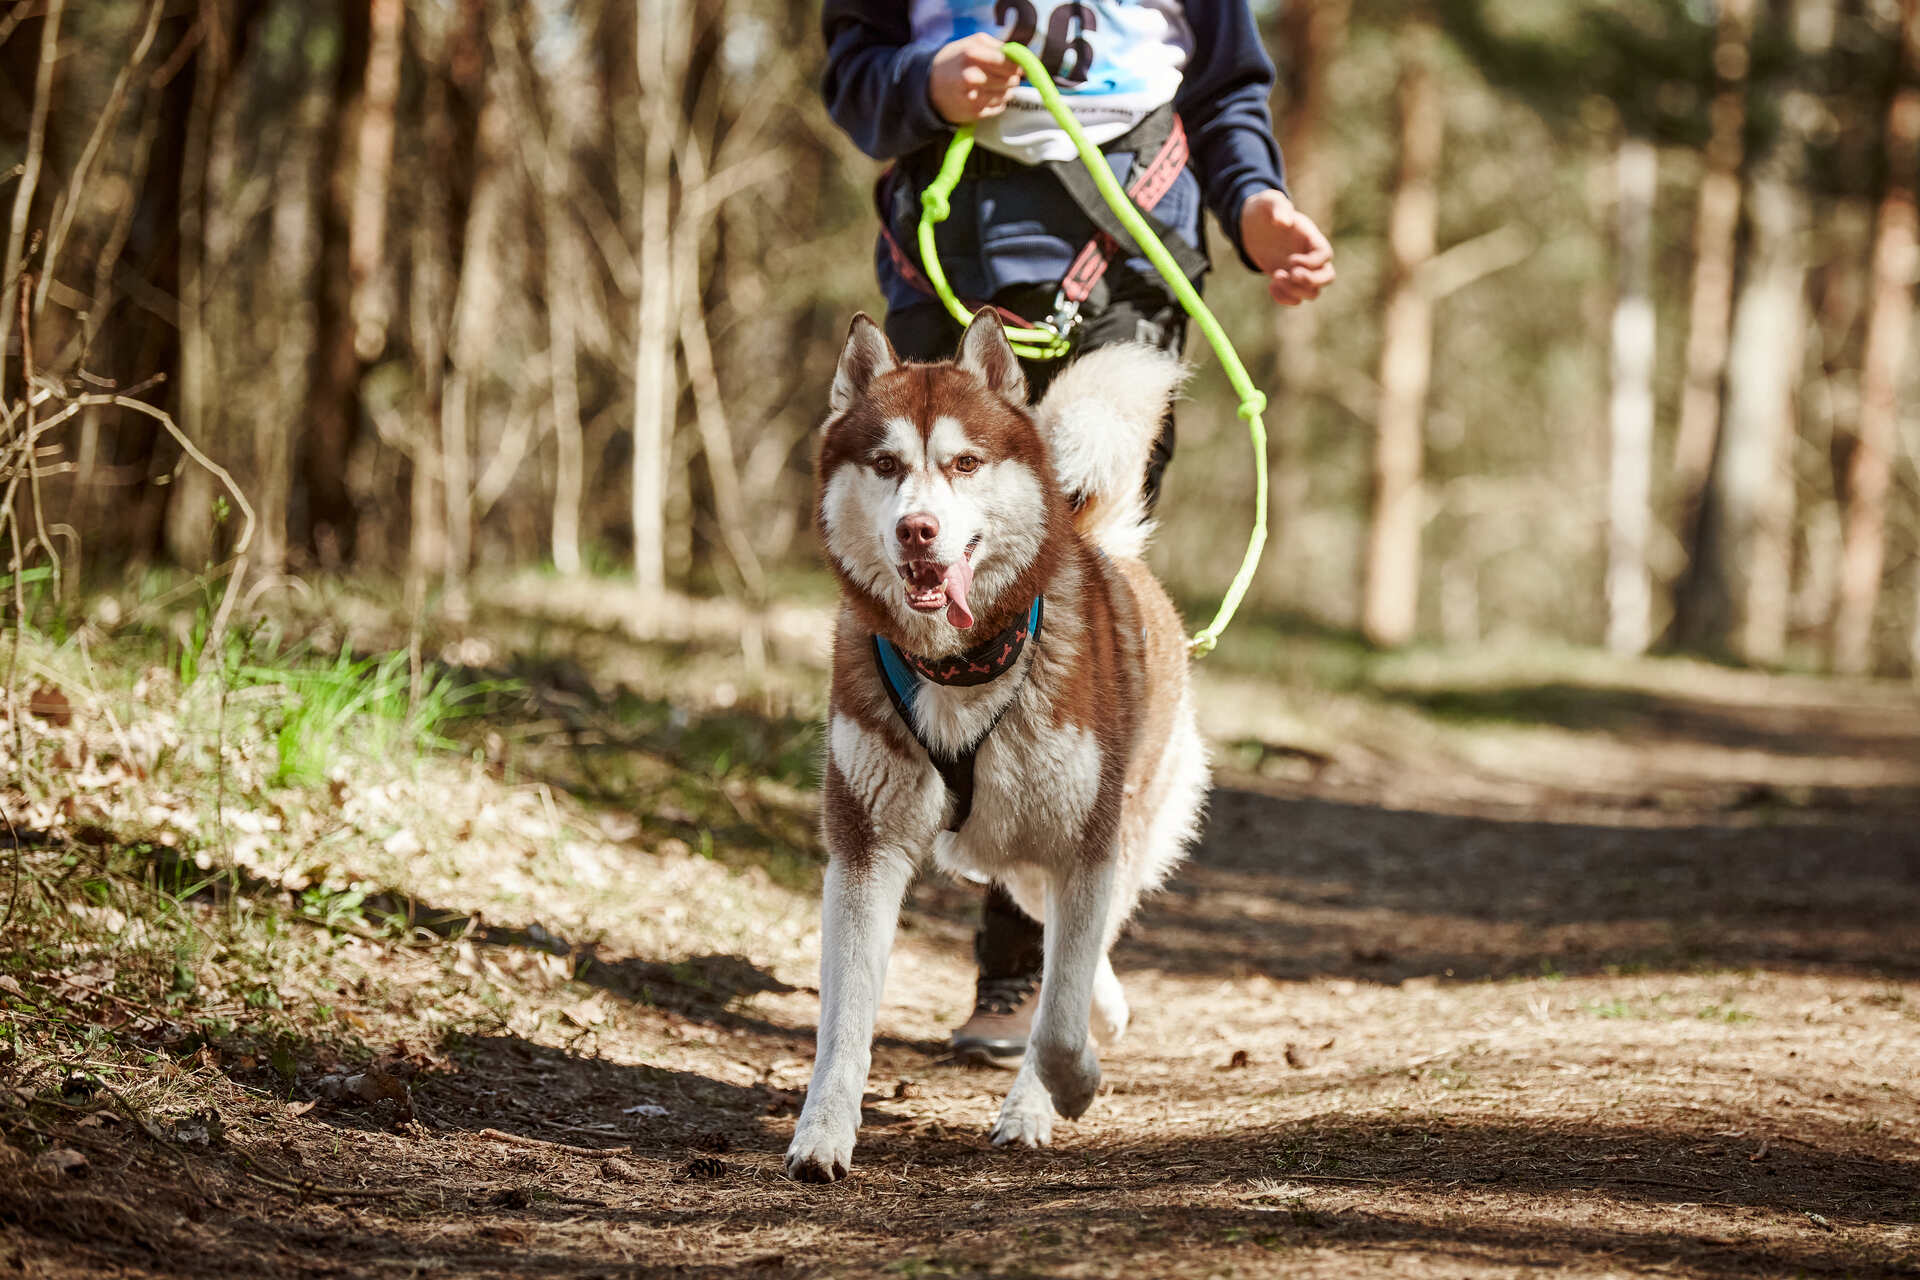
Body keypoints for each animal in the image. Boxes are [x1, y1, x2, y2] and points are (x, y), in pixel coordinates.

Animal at [783, 307, 1205, 1182]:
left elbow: (1059, 1020)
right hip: (1003, 851)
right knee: (1055, 929)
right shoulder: (865, 849)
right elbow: (844, 1022)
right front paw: (823, 1135)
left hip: (1114, 825)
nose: (917, 529)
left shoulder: (1085, 845)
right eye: (886, 464)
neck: (960, 667)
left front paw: (1065, 1088)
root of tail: (1103, 546)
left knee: (1079, 945)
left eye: (965, 463)